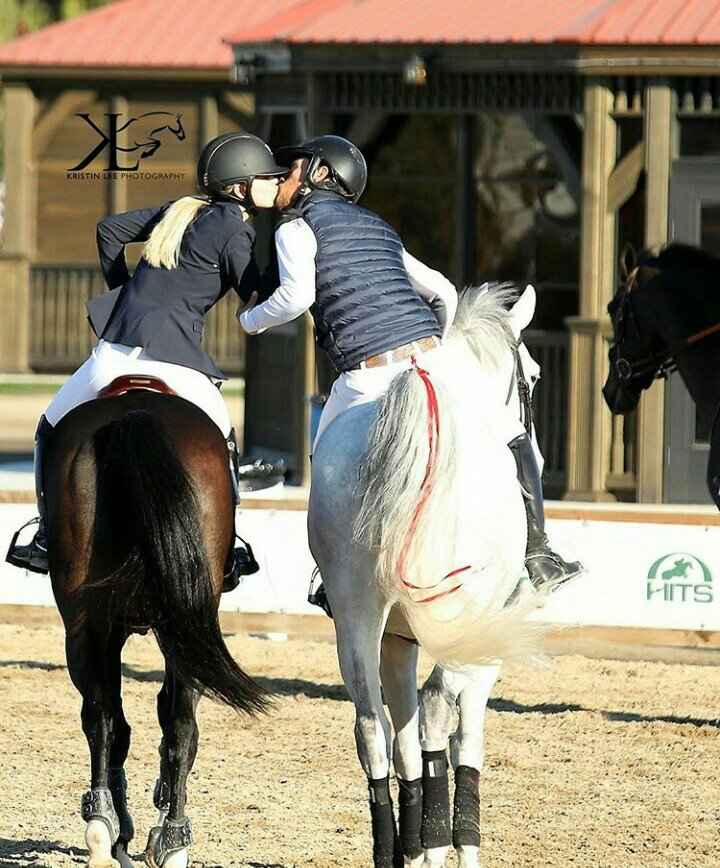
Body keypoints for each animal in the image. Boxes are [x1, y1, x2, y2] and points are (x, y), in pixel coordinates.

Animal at [45, 392, 266, 868]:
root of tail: (136, 412)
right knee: (172, 725)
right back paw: (168, 840)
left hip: (90, 627)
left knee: (105, 718)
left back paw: (105, 830)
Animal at [306, 282, 548, 864]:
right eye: (531, 376)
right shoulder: (486, 641)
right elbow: (466, 738)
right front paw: (459, 844)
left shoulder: (398, 640)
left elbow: (405, 744)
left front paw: (410, 847)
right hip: (461, 622)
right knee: (438, 710)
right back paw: (439, 842)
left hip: (356, 616)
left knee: (371, 727)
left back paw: (394, 846)